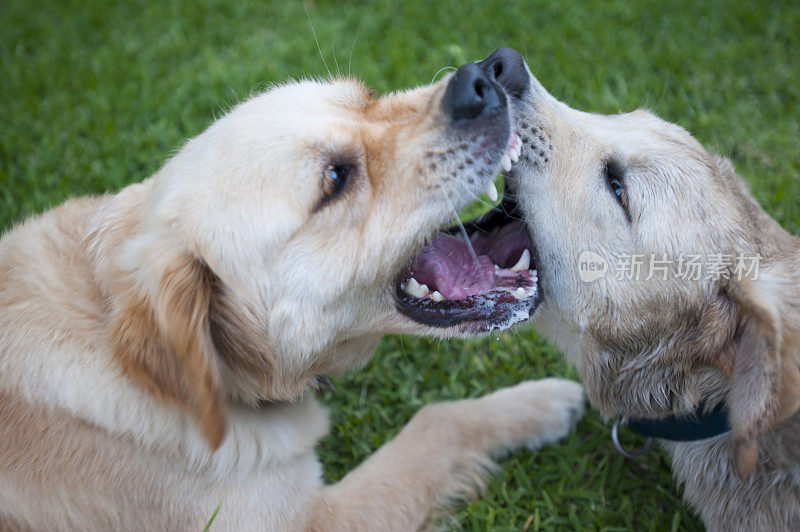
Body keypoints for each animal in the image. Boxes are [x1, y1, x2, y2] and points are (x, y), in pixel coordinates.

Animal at [0, 66, 580, 532]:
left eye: (366, 97)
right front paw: (546, 403)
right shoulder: (312, 520)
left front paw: (533, 401)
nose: (482, 77)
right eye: (335, 179)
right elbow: (436, 423)